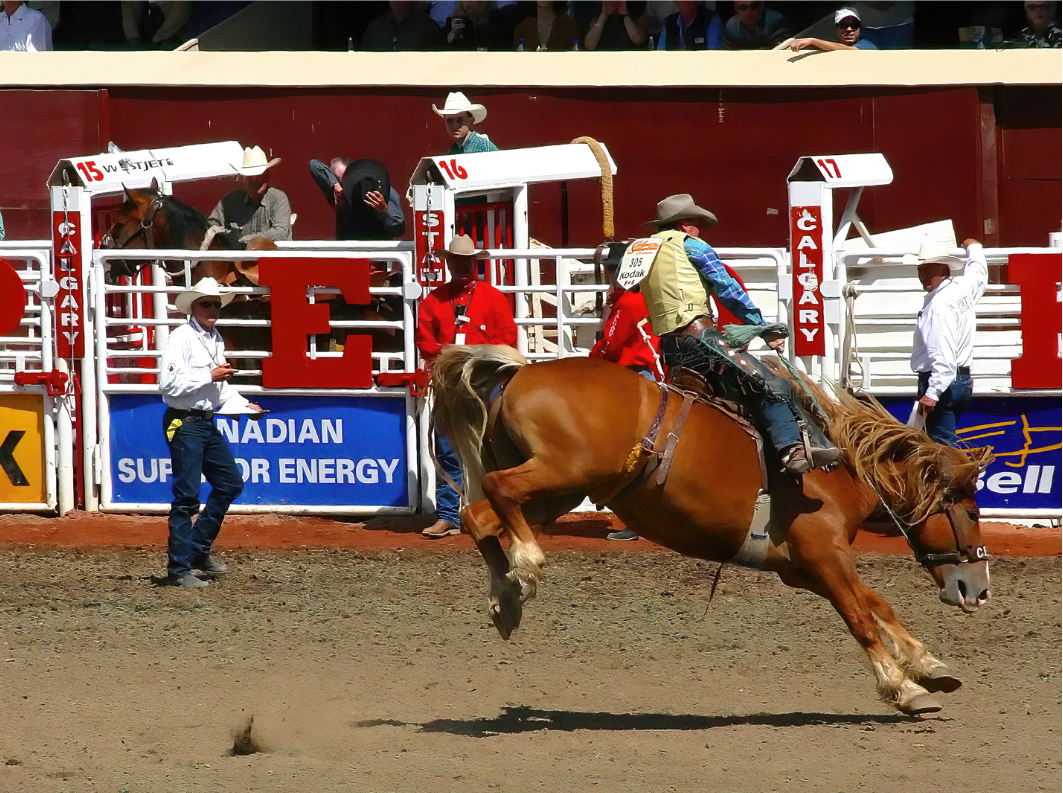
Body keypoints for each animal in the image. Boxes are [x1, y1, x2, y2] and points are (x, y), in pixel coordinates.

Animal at [429, 342, 994, 714]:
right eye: (971, 511)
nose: (979, 588)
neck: (838, 468)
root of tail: (521, 372)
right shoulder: (824, 556)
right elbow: (860, 615)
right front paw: (903, 687)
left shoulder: (805, 568)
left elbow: (877, 604)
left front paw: (928, 665)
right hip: (562, 474)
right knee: (498, 491)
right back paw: (526, 566)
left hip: (559, 492)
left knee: (480, 516)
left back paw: (507, 599)